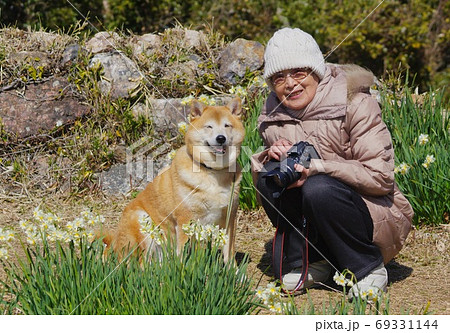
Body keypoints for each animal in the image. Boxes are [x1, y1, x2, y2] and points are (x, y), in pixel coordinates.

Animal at [100, 96, 244, 262]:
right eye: (209, 126)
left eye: (227, 125)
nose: (221, 138)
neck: (213, 172)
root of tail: (114, 245)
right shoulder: (185, 220)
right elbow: (183, 254)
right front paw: (182, 266)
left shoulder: (229, 218)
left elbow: (229, 252)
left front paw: (233, 269)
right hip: (142, 222)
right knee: (139, 264)